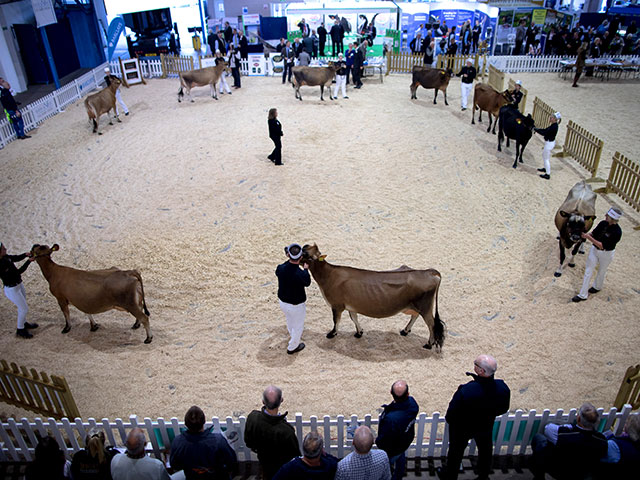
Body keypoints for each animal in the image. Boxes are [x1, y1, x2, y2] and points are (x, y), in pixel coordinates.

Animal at [302, 244, 444, 348]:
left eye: (306, 255)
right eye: (304, 248)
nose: (290, 250)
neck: (328, 275)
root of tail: (429, 272)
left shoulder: (337, 305)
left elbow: (336, 320)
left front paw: (332, 334)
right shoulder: (351, 306)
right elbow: (354, 318)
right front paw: (359, 332)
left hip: (425, 306)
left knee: (431, 324)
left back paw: (428, 344)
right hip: (416, 305)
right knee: (415, 316)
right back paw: (405, 331)